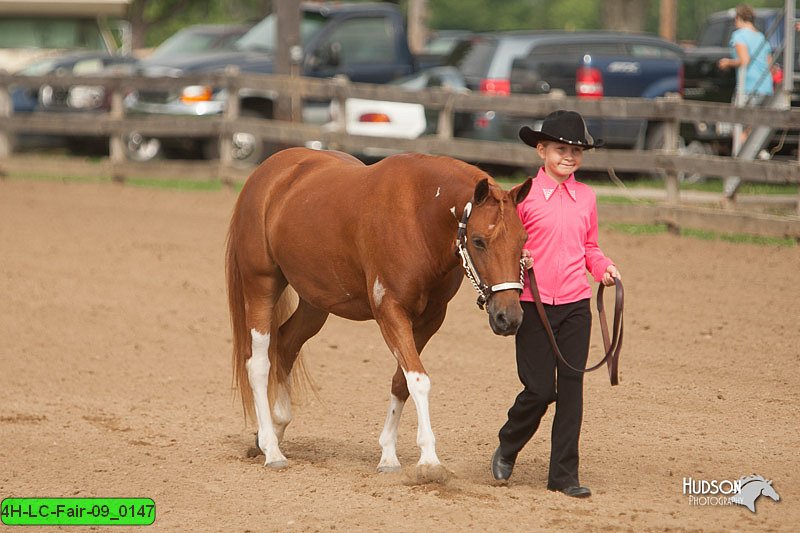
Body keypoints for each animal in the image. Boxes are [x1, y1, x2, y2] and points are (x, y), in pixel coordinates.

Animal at [225, 147, 532, 474]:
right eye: (478, 241)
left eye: (523, 239)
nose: (508, 318)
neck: (418, 215)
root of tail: (268, 171)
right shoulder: (390, 311)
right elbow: (419, 380)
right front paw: (429, 460)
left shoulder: (431, 319)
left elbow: (402, 381)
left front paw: (388, 455)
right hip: (261, 284)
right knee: (258, 363)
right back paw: (271, 449)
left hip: (315, 302)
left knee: (285, 344)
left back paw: (275, 428)